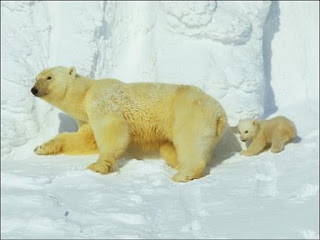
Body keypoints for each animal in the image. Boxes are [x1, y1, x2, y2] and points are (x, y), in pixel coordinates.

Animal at [30, 66, 228, 182]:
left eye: (49, 77)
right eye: (36, 78)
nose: (34, 90)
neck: (85, 93)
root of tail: (220, 114)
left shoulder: (101, 100)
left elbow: (112, 129)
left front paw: (98, 166)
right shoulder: (85, 118)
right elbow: (85, 139)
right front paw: (41, 148)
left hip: (189, 112)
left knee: (189, 140)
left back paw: (184, 174)